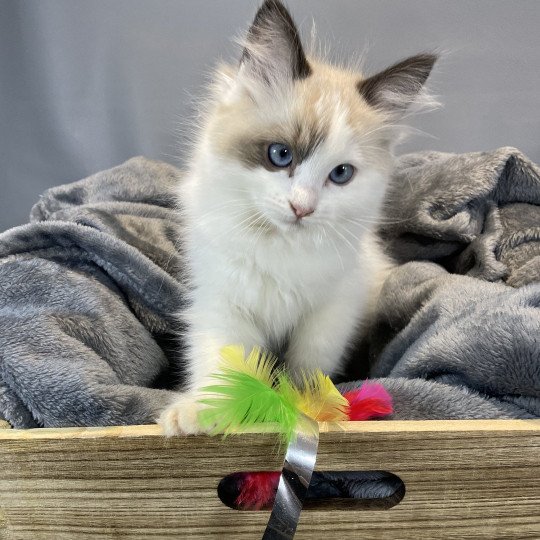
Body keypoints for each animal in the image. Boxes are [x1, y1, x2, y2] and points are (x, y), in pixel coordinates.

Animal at [159, 0, 434, 432]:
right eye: (280, 154)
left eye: (340, 174)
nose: (302, 207)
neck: (281, 247)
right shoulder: (223, 302)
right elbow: (221, 362)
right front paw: (201, 411)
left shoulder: (332, 310)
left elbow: (309, 367)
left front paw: (307, 408)